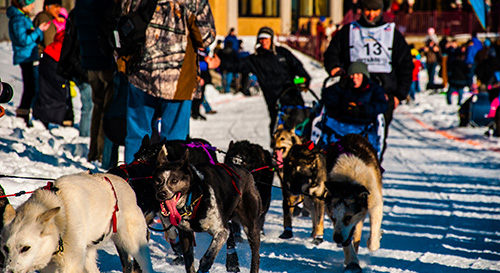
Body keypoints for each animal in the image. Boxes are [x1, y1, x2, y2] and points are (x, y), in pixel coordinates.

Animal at [0, 172, 154, 272]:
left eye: (25, 248)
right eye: (5, 248)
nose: (8, 271)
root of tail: (125, 182)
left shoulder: (70, 265)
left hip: (134, 245)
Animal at [322, 133, 384, 270]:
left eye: (348, 217)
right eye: (332, 218)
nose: (337, 238)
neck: (348, 181)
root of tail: (352, 134)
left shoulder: (375, 204)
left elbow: (372, 242)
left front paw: (374, 240)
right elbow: (348, 243)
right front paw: (352, 261)